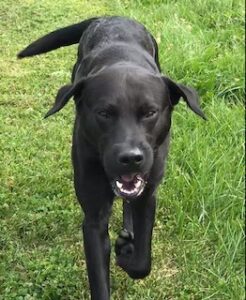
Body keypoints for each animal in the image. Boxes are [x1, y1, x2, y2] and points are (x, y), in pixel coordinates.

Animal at [17, 16, 206, 300]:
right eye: (104, 113)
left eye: (150, 112)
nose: (130, 158)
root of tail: (112, 16)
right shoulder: (94, 218)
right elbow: (99, 276)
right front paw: (122, 251)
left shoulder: (148, 195)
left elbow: (142, 262)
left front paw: (127, 252)